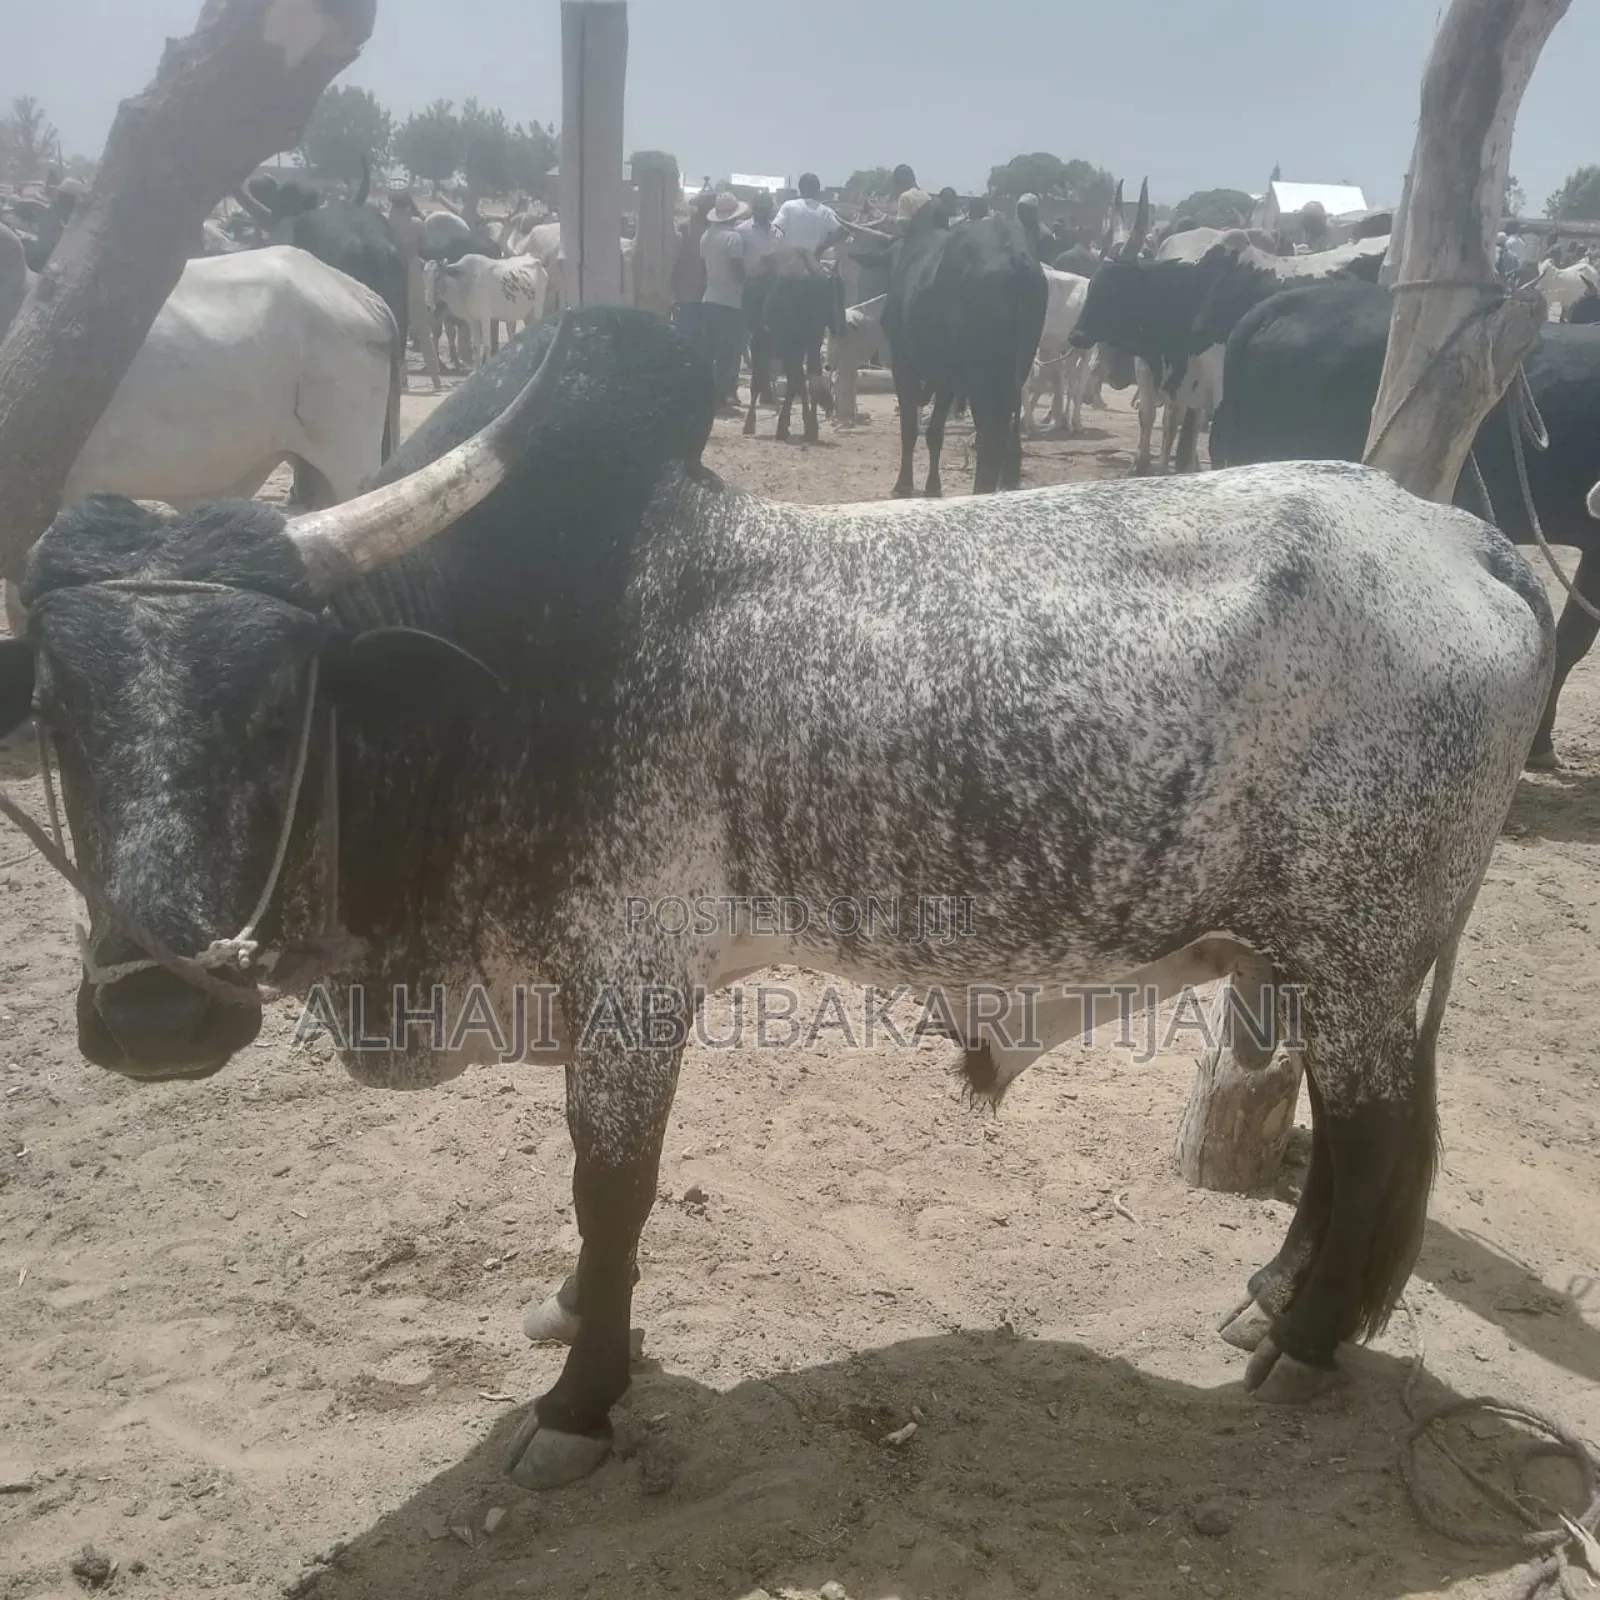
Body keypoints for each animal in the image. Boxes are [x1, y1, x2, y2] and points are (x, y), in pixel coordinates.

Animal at [0, 307, 1553, 1497]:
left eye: (276, 709)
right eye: (57, 710)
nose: (151, 1015)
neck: (499, 675)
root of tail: (1462, 538)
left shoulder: (635, 984)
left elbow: (609, 1190)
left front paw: (582, 1402)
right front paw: (576, 1323)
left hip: (1358, 947)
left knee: (1376, 1133)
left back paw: (1305, 1346)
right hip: (1309, 953)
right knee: (1355, 1137)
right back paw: (1274, 1302)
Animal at [878, 196, 1048, 496]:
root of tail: (1013, 257)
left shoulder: (903, 363)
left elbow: (909, 427)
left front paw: (904, 484)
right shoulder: (948, 376)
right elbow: (934, 431)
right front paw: (933, 487)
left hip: (985, 374)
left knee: (992, 434)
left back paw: (982, 488)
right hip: (1016, 366)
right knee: (1008, 427)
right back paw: (1006, 480)